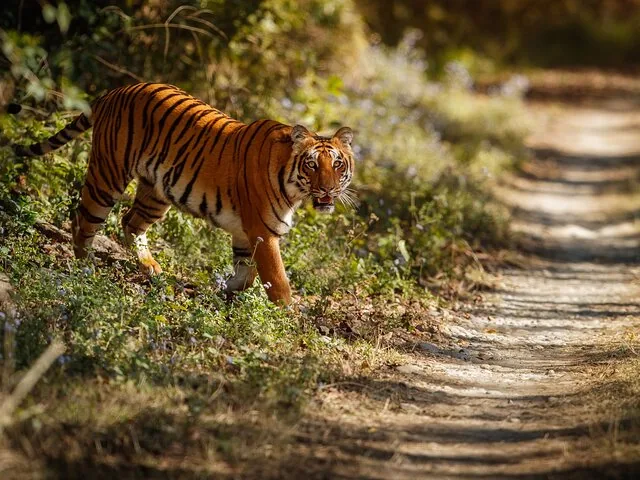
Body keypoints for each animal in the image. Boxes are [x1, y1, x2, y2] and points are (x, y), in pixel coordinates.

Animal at [12, 83, 355, 305]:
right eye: (312, 164)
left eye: (337, 164)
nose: (328, 188)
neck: (294, 187)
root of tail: (114, 91)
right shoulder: (263, 231)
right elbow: (278, 281)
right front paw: (286, 318)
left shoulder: (246, 233)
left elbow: (246, 274)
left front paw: (223, 293)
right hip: (107, 176)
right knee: (83, 222)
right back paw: (86, 270)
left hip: (156, 193)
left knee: (130, 222)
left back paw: (151, 269)